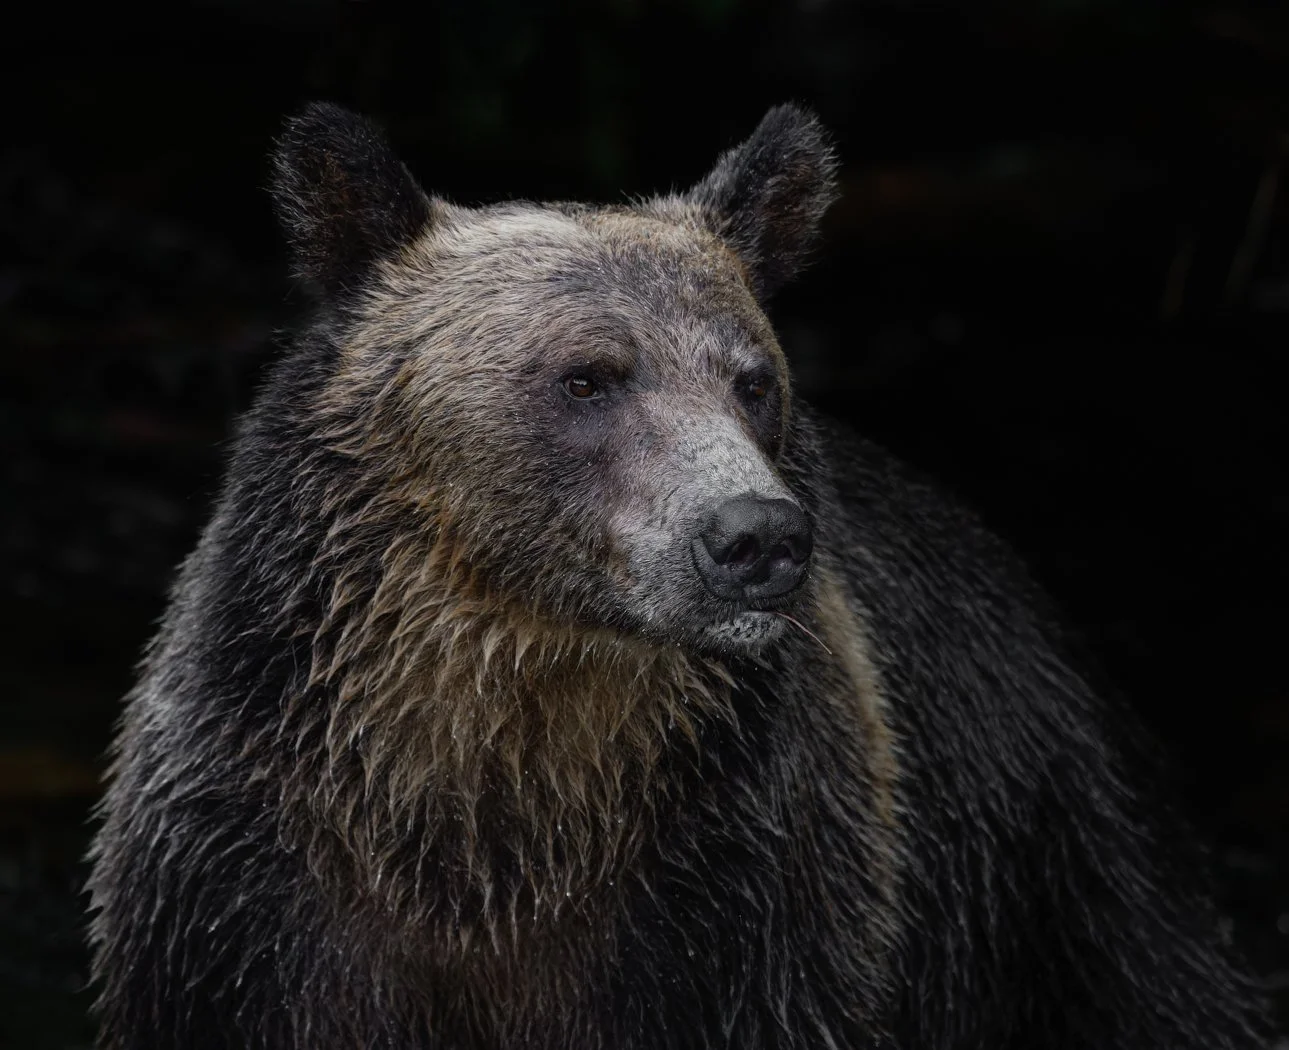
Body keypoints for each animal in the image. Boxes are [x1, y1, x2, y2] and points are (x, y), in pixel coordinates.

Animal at [85, 101, 1275, 1049]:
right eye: (586, 377)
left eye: (751, 379)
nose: (755, 536)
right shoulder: (253, 881)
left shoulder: (732, 894)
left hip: (1056, 858)